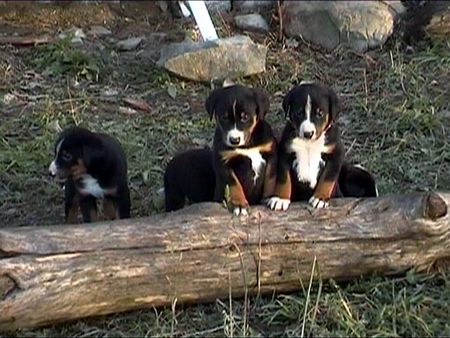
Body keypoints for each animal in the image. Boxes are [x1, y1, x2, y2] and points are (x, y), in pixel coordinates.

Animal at [207, 85, 278, 217]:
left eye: (245, 117)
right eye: (224, 117)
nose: (234, 140)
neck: (247, 146)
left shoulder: (271, 153)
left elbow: (270, 178)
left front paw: (269, 197)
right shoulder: (223, 162)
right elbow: (234, 183)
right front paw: (239, 205)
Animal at [268, 80, 344, 210]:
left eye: (320, 113)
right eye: (299, 113)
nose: (308, 133)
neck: (309, 144)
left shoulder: (336, 154)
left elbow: (327, 179)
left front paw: (320, 198)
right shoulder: (285, 152)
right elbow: (284, 179)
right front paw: (280, 198)